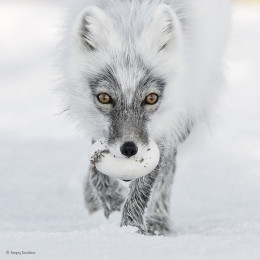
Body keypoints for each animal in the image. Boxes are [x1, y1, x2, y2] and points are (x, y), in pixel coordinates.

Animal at [64, 0, 230, 235]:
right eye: (104, 98)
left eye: (151, 98)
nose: (129, 149)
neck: (130, 20)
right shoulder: (96, 125)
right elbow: (96, 170)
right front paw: (111, 201)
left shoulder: (166, 127)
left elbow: (146, 183)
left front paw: (131, 228)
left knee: (168, 168)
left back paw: (158, 220)